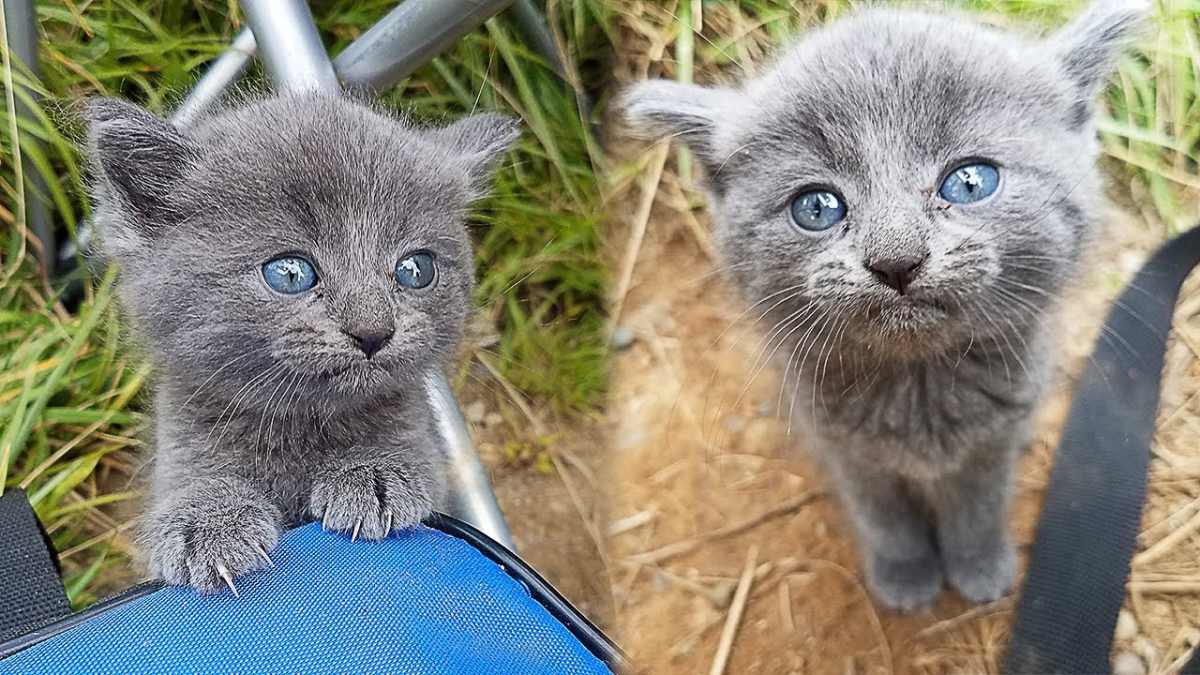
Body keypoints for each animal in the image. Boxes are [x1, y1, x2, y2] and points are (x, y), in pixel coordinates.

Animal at [84, 93, 516, 588]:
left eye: (415, 269)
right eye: (289, 273)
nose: (374, 330)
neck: (301, 428)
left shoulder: (417, 430)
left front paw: (373, 470)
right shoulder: (180, 441)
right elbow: (191, 482)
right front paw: (208, 519)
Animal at [628, 1, 1142, 610]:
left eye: (970, 182)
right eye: (817, 207)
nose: (896, 259)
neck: (918, 388)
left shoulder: (993, 439)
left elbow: (979, 508)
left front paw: (980, 565)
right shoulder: (847, 450)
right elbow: (884, 519)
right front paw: (905, 575)